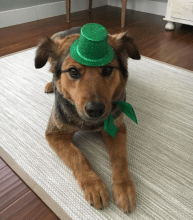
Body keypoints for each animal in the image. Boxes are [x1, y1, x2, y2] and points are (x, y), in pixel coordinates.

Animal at [34, 24, 140, 212]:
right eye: (73, 71)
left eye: (107, 70)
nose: (95, 110)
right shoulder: (55, 134)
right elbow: (78, 157)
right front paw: (94, 185)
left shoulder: (117, 128)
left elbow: (120, 158)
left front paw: (125, 188)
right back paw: (50, 85)